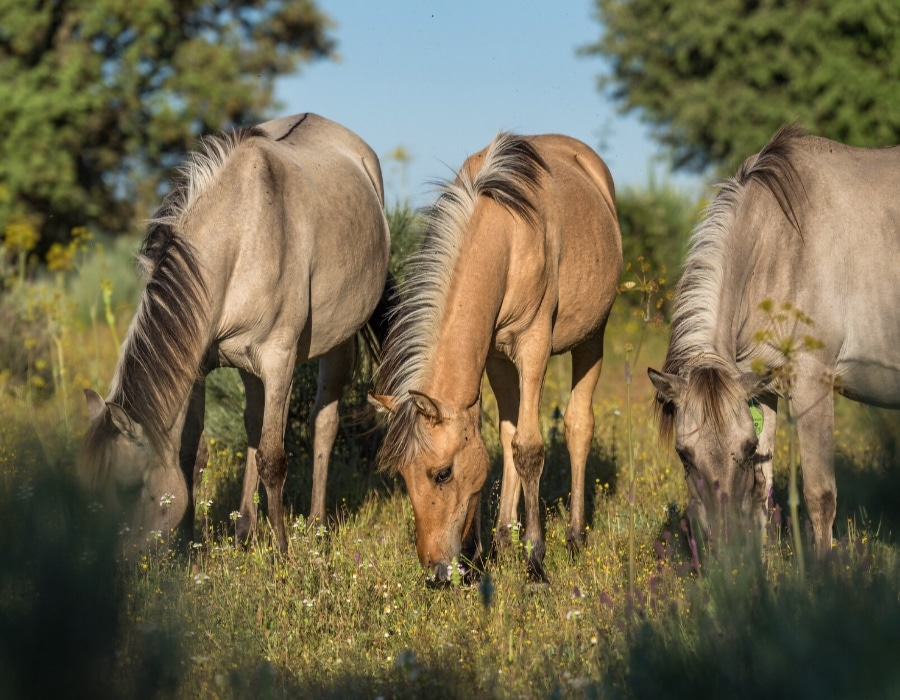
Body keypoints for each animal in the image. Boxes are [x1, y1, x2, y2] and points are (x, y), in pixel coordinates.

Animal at [81, 113, 391, 556]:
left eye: (127, 490)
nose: (104, 563)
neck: (241, 235)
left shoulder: (279, 361)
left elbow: (274, 459)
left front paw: (283, 552)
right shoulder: (198, 366)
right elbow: (191, 453)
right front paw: (188, 544)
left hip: (337, 344)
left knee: (324, 424)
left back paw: (315, 527)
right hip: (247, 365)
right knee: (253, 423)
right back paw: (246, 527)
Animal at [371, 132, 622, 582]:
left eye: (442, 473)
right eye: (402, 475)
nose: (436, 572)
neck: (507, 235)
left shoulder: (534, 346)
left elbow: (529, 448)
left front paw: (535, 560)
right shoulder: (494, 356)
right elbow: (506, 438)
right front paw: (498, 545)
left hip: (593, 337)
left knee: (579, 425)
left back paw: (575, 537)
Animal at [648, 124, 900, 556]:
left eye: (744, 451)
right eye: (684, 455)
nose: (726, 548)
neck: (780, 243)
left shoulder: (813, 382)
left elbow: (820, 496)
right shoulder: (761, 387)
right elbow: (762, 492)